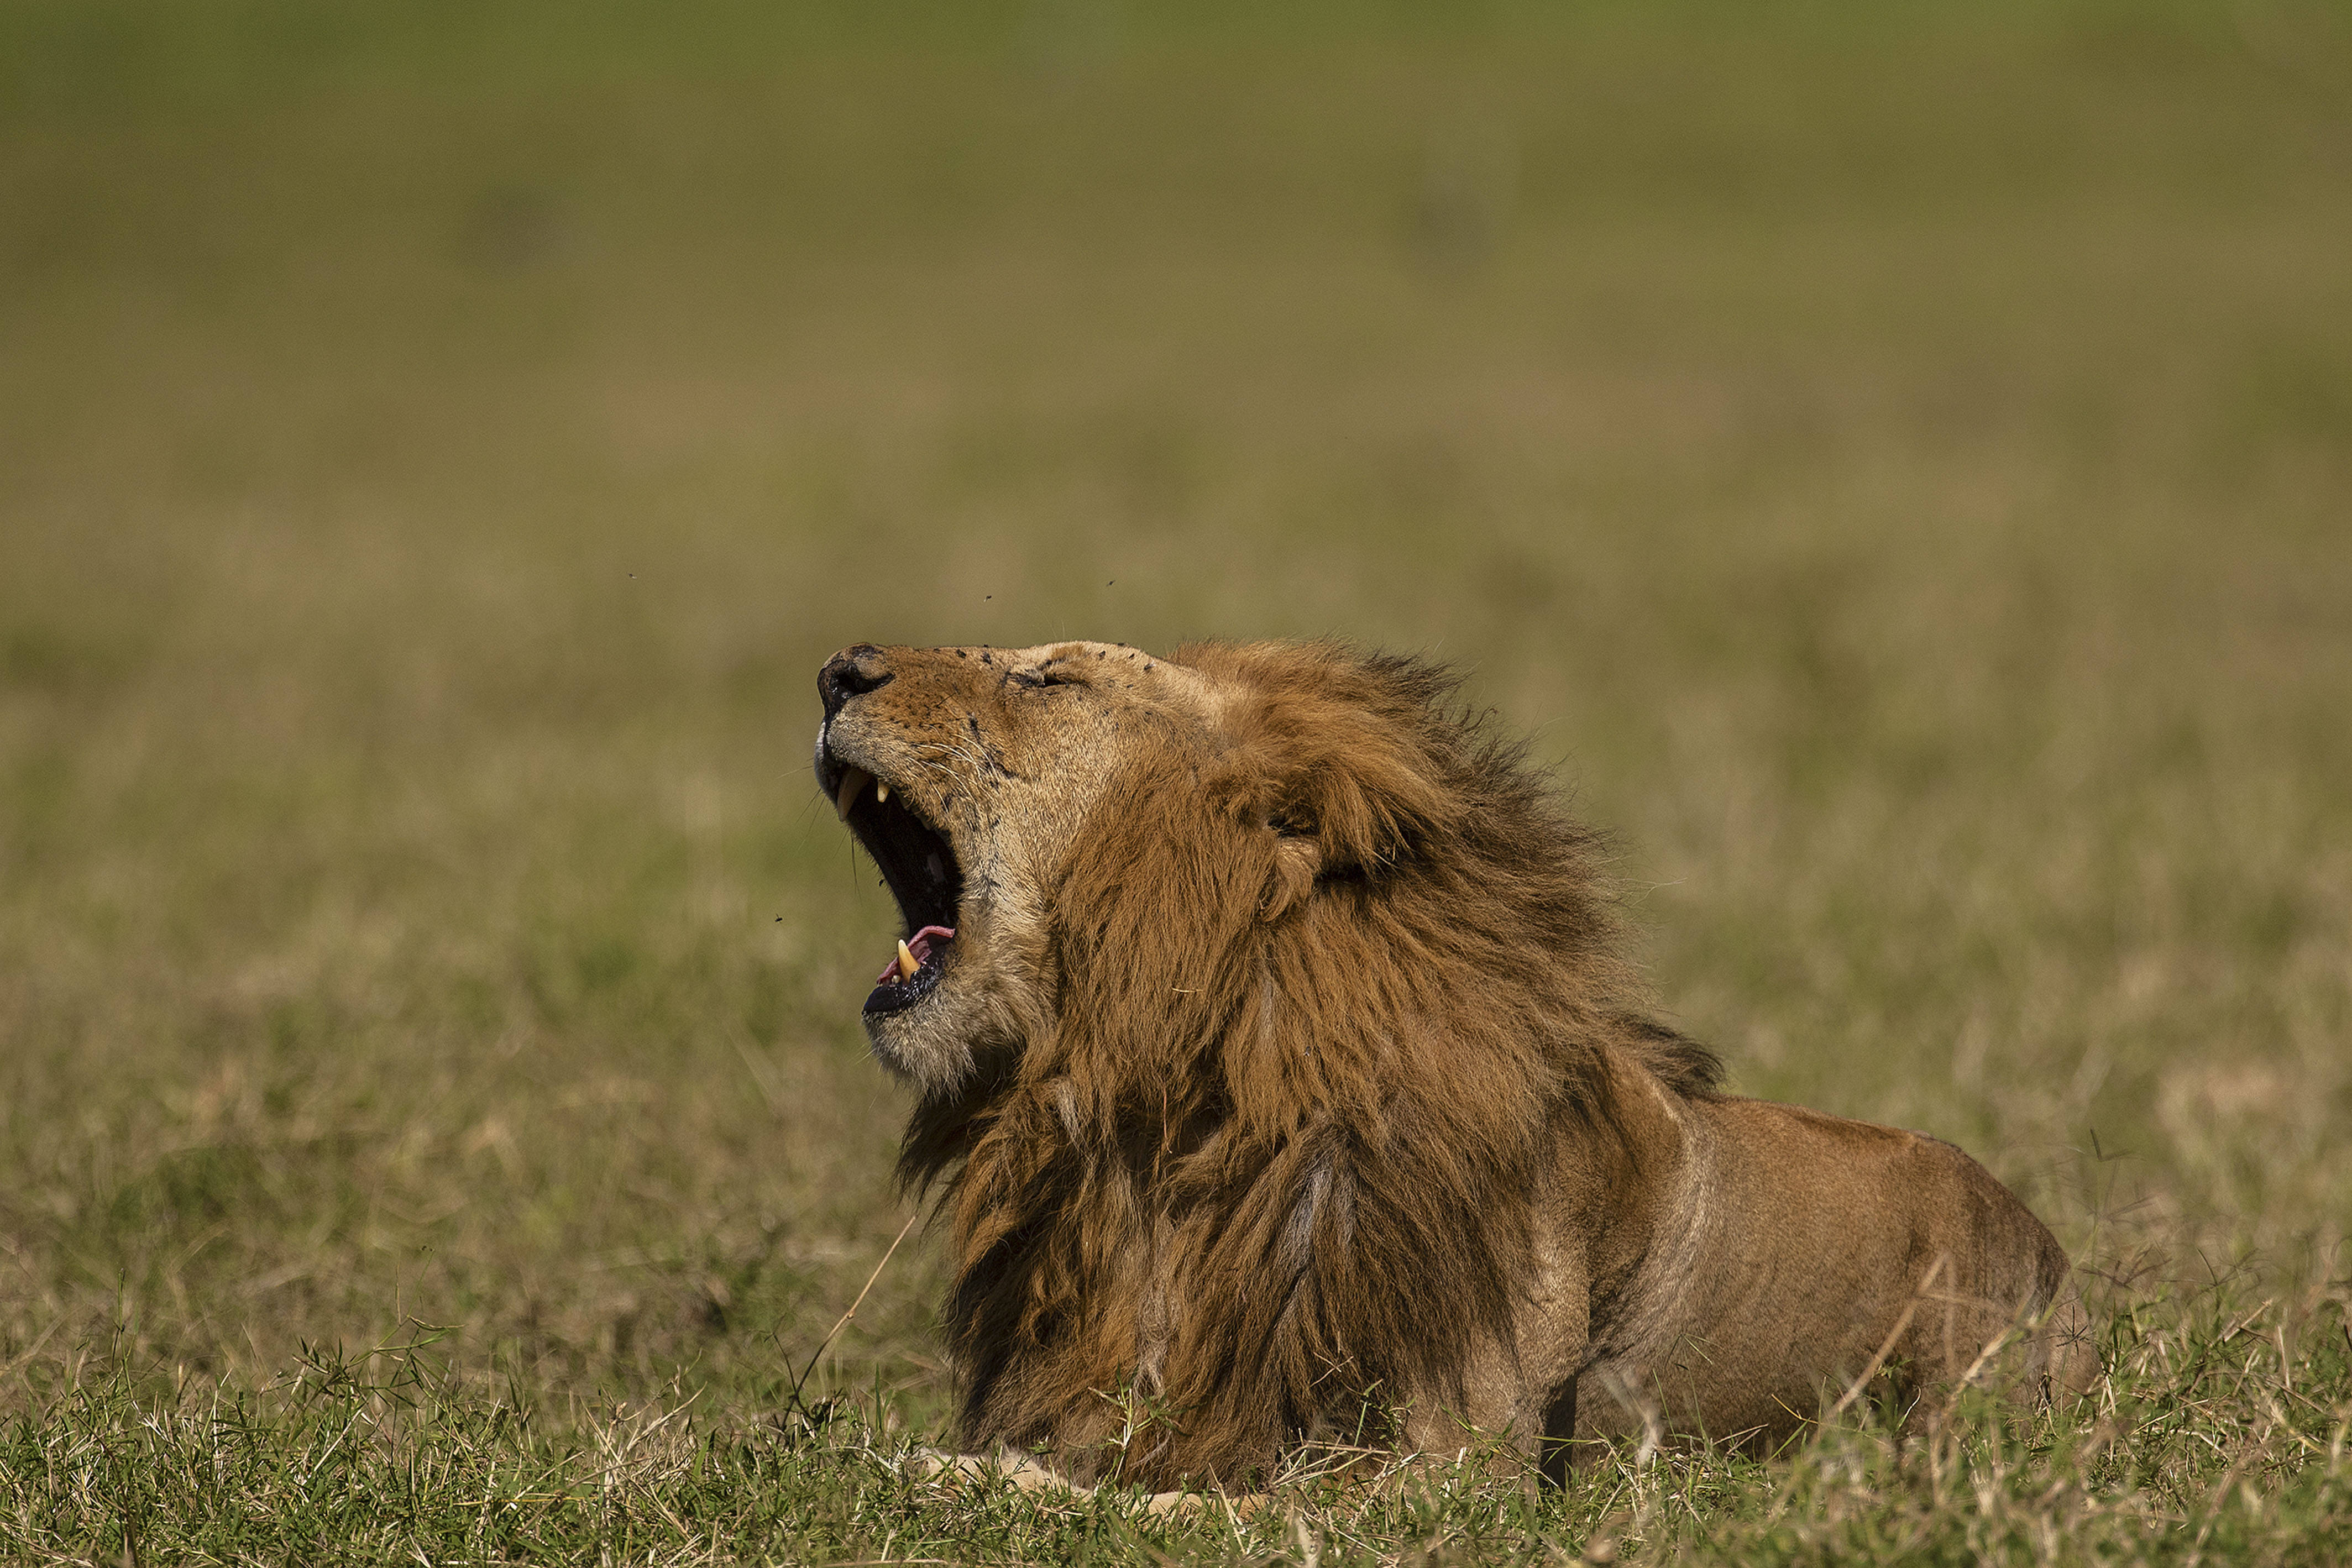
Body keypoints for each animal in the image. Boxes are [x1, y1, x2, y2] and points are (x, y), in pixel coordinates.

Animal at [809, 639, 2098, 1495]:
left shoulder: (1442, 1475)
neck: (1166, 1116)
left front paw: (915, 1467)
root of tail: (2050, 1247)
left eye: (1050, 681)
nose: (836, 670)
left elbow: (1178, 1501)